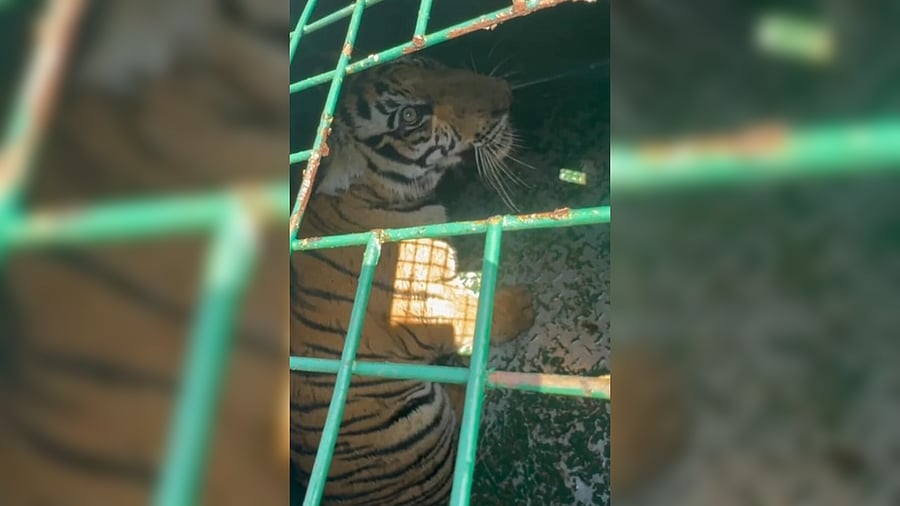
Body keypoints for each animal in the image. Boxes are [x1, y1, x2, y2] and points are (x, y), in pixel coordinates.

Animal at [290, 55, 536, 505]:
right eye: (410, 117)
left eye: (430, 63)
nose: (506, 96)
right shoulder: (414, 310)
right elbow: (467, 312)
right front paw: (516, 305)